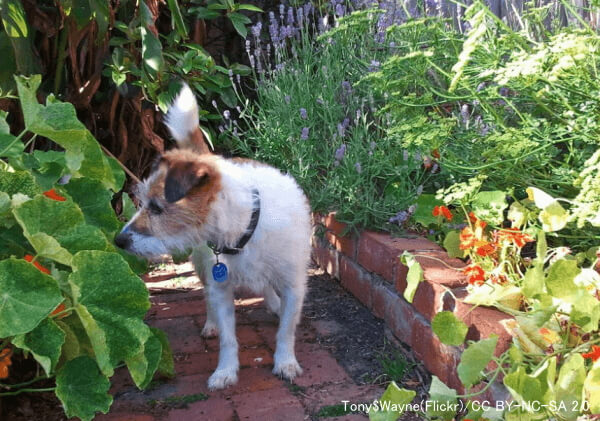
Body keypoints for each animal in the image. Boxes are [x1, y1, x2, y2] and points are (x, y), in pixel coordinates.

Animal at [118, 85, 314, 390]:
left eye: (157, 208)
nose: (119, 241)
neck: (243, 228)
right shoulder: (221, 287)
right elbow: (227, 338)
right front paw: (226, 370)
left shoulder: (294, 284)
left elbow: (286, 330)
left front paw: (285, 362)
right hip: (202, 265)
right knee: (208, 295)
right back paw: (211, 324)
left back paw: (273, 305)